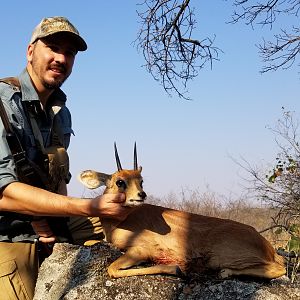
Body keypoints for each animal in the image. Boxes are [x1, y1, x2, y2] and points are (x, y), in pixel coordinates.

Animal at [77, 143, 286, 278]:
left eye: (141, 180)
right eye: (120, 181)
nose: (141, 195)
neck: (118, 223)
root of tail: (266, 245)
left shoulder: (141, 250)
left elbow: (112, 269)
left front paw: (175, 269)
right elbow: (89, 242)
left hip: (221, 258)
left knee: (279, 268)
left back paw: (225, 272)